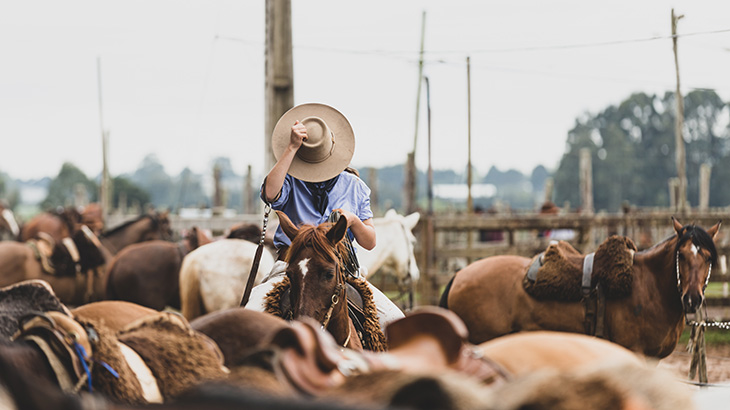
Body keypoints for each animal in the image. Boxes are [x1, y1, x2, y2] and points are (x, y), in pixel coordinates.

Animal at [438, 218, 716, 358]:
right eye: (681, 254)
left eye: (708, 257)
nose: (692, 299)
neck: (649, 287)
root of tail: (459, 275)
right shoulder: (635, 353)